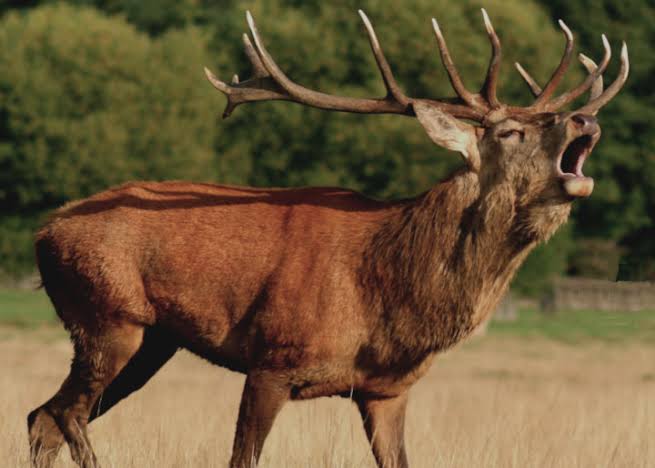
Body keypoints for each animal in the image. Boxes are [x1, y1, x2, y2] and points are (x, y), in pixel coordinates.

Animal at [27, 8, 628, 468]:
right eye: (508, 131)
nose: (584, 120)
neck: (385, 298)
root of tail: (44, 231)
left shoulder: (387, 390)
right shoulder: (272, 359)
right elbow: (241, 458)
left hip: (152, 340)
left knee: (42, 416)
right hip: (106, 317)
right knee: (64, 413)